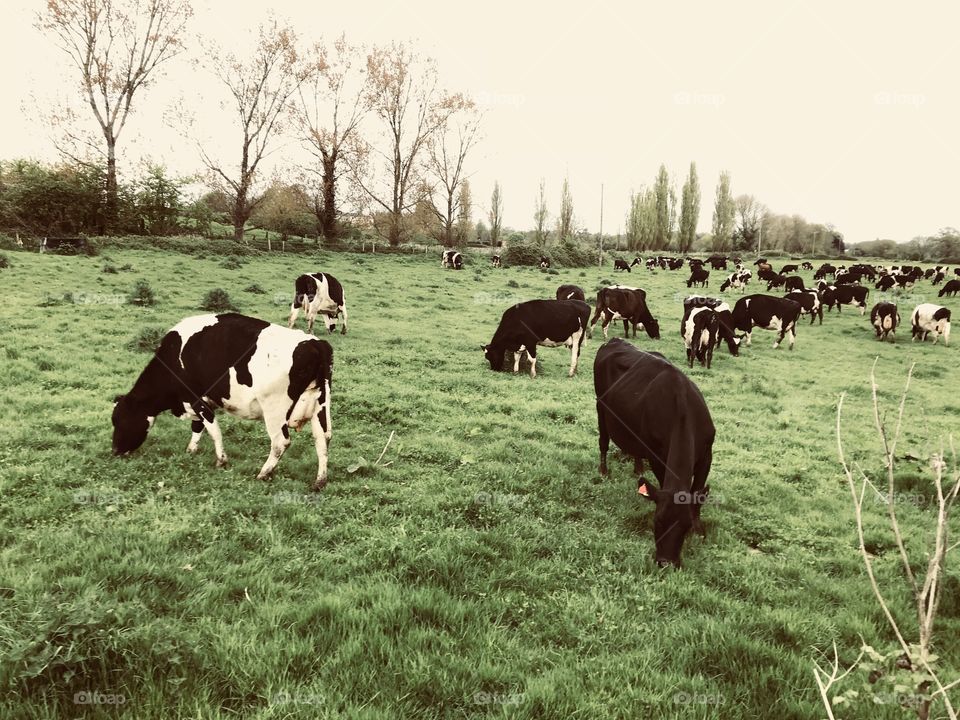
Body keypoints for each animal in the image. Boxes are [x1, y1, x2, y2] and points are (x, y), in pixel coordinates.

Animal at [112, 312, 336, 492]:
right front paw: (191, 450)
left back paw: (263, 473)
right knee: (323, 439)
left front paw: (221, 460)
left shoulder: (197, 399)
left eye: (120, 421)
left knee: (281, 442)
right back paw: (320, 481)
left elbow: (213, 430)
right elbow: (197, 427)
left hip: (275, 409)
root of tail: (314, 343)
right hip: (321, 405)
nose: (114, 451)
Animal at [592, 338, 712, 568]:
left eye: (684, 526)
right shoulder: (657, 458)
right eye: (657, 521)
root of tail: (614, 340)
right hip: (600, 407)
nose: (666, 562)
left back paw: (638, 468)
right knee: (603, 440)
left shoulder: (707, 455)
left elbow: (698, 494)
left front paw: (699, 529)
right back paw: (603, 470)